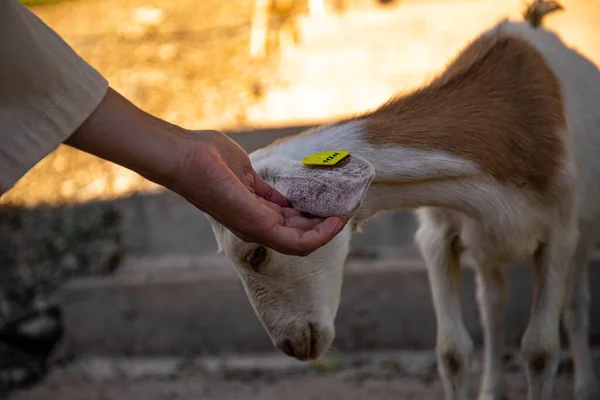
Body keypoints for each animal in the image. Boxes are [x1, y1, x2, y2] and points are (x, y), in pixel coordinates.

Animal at [206, 4, 600, 398]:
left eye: (256, 254)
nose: (290, 345)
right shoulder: (438, 234)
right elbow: (453, 351)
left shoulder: (558, 233)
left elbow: (540, 351)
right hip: (487, 248)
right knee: (492, 306)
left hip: (581, 232)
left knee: (574, 304)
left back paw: (584, 386)